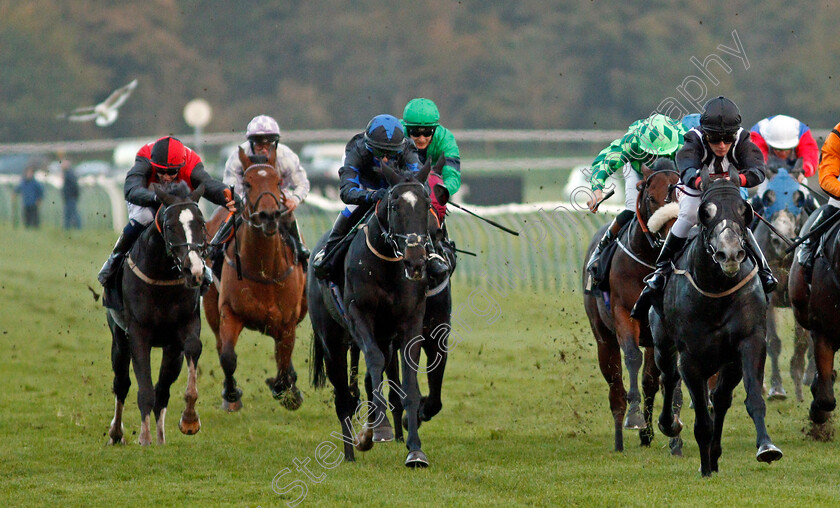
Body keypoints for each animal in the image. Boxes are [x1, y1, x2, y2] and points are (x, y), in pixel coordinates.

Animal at [106, 183, 208, 444]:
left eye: (201, 223)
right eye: (170, 226)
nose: (194, 271)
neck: (162, 274)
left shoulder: (185, 327)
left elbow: (193, 347)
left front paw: (190, 419)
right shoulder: (138, 333)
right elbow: (144, 389)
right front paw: (144, 437)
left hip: (171, 350)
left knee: (162, 390)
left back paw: (161, 439)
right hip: (119, 339)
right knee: (122, 383)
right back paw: (116, 433)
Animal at [203, 150, 308, 412]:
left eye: (278, 181)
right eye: (248, 183)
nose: (268, 216)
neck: (264, 271)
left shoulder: (288, 319)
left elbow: (284, 358)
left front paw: (287, 389)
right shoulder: (229, 311)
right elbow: (227, 356)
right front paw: (232, 394)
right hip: (210, 305)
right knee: (220, 344)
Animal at [306, 161, 440, 466]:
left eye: (427, 204)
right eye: (394, 205)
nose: (415, 261)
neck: (388, 265)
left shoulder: (410, 322)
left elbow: (408, 384)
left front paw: (415, 449)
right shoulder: (358, 315)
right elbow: (374, 364)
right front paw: (375, 430)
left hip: (384, 338)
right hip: (332, 341)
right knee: (343, 397)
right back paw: (350, 451)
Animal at [584, 159, 684, 452]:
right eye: (650, 198)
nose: (670, 238)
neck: (651, 263)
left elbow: (670, 375)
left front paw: (674, 431)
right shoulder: (623, 315)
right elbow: (631, 357)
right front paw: (635, 417)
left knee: (651, 380)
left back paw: (650, 434)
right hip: (603, 338)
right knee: (615, 385)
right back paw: (620, 437)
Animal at [648, 171, 780, 476]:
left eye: (745, 211)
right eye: (705, 213)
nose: (729, 254)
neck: (717, 291)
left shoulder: (749, 342)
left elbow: (752, 399)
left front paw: (766, 447)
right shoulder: (690, 358)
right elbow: (700, 417)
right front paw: (705, 467)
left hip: (727, 362)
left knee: (720, 399)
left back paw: (716, 453)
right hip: (662, 343)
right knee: (668, 376)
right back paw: (670, 425)